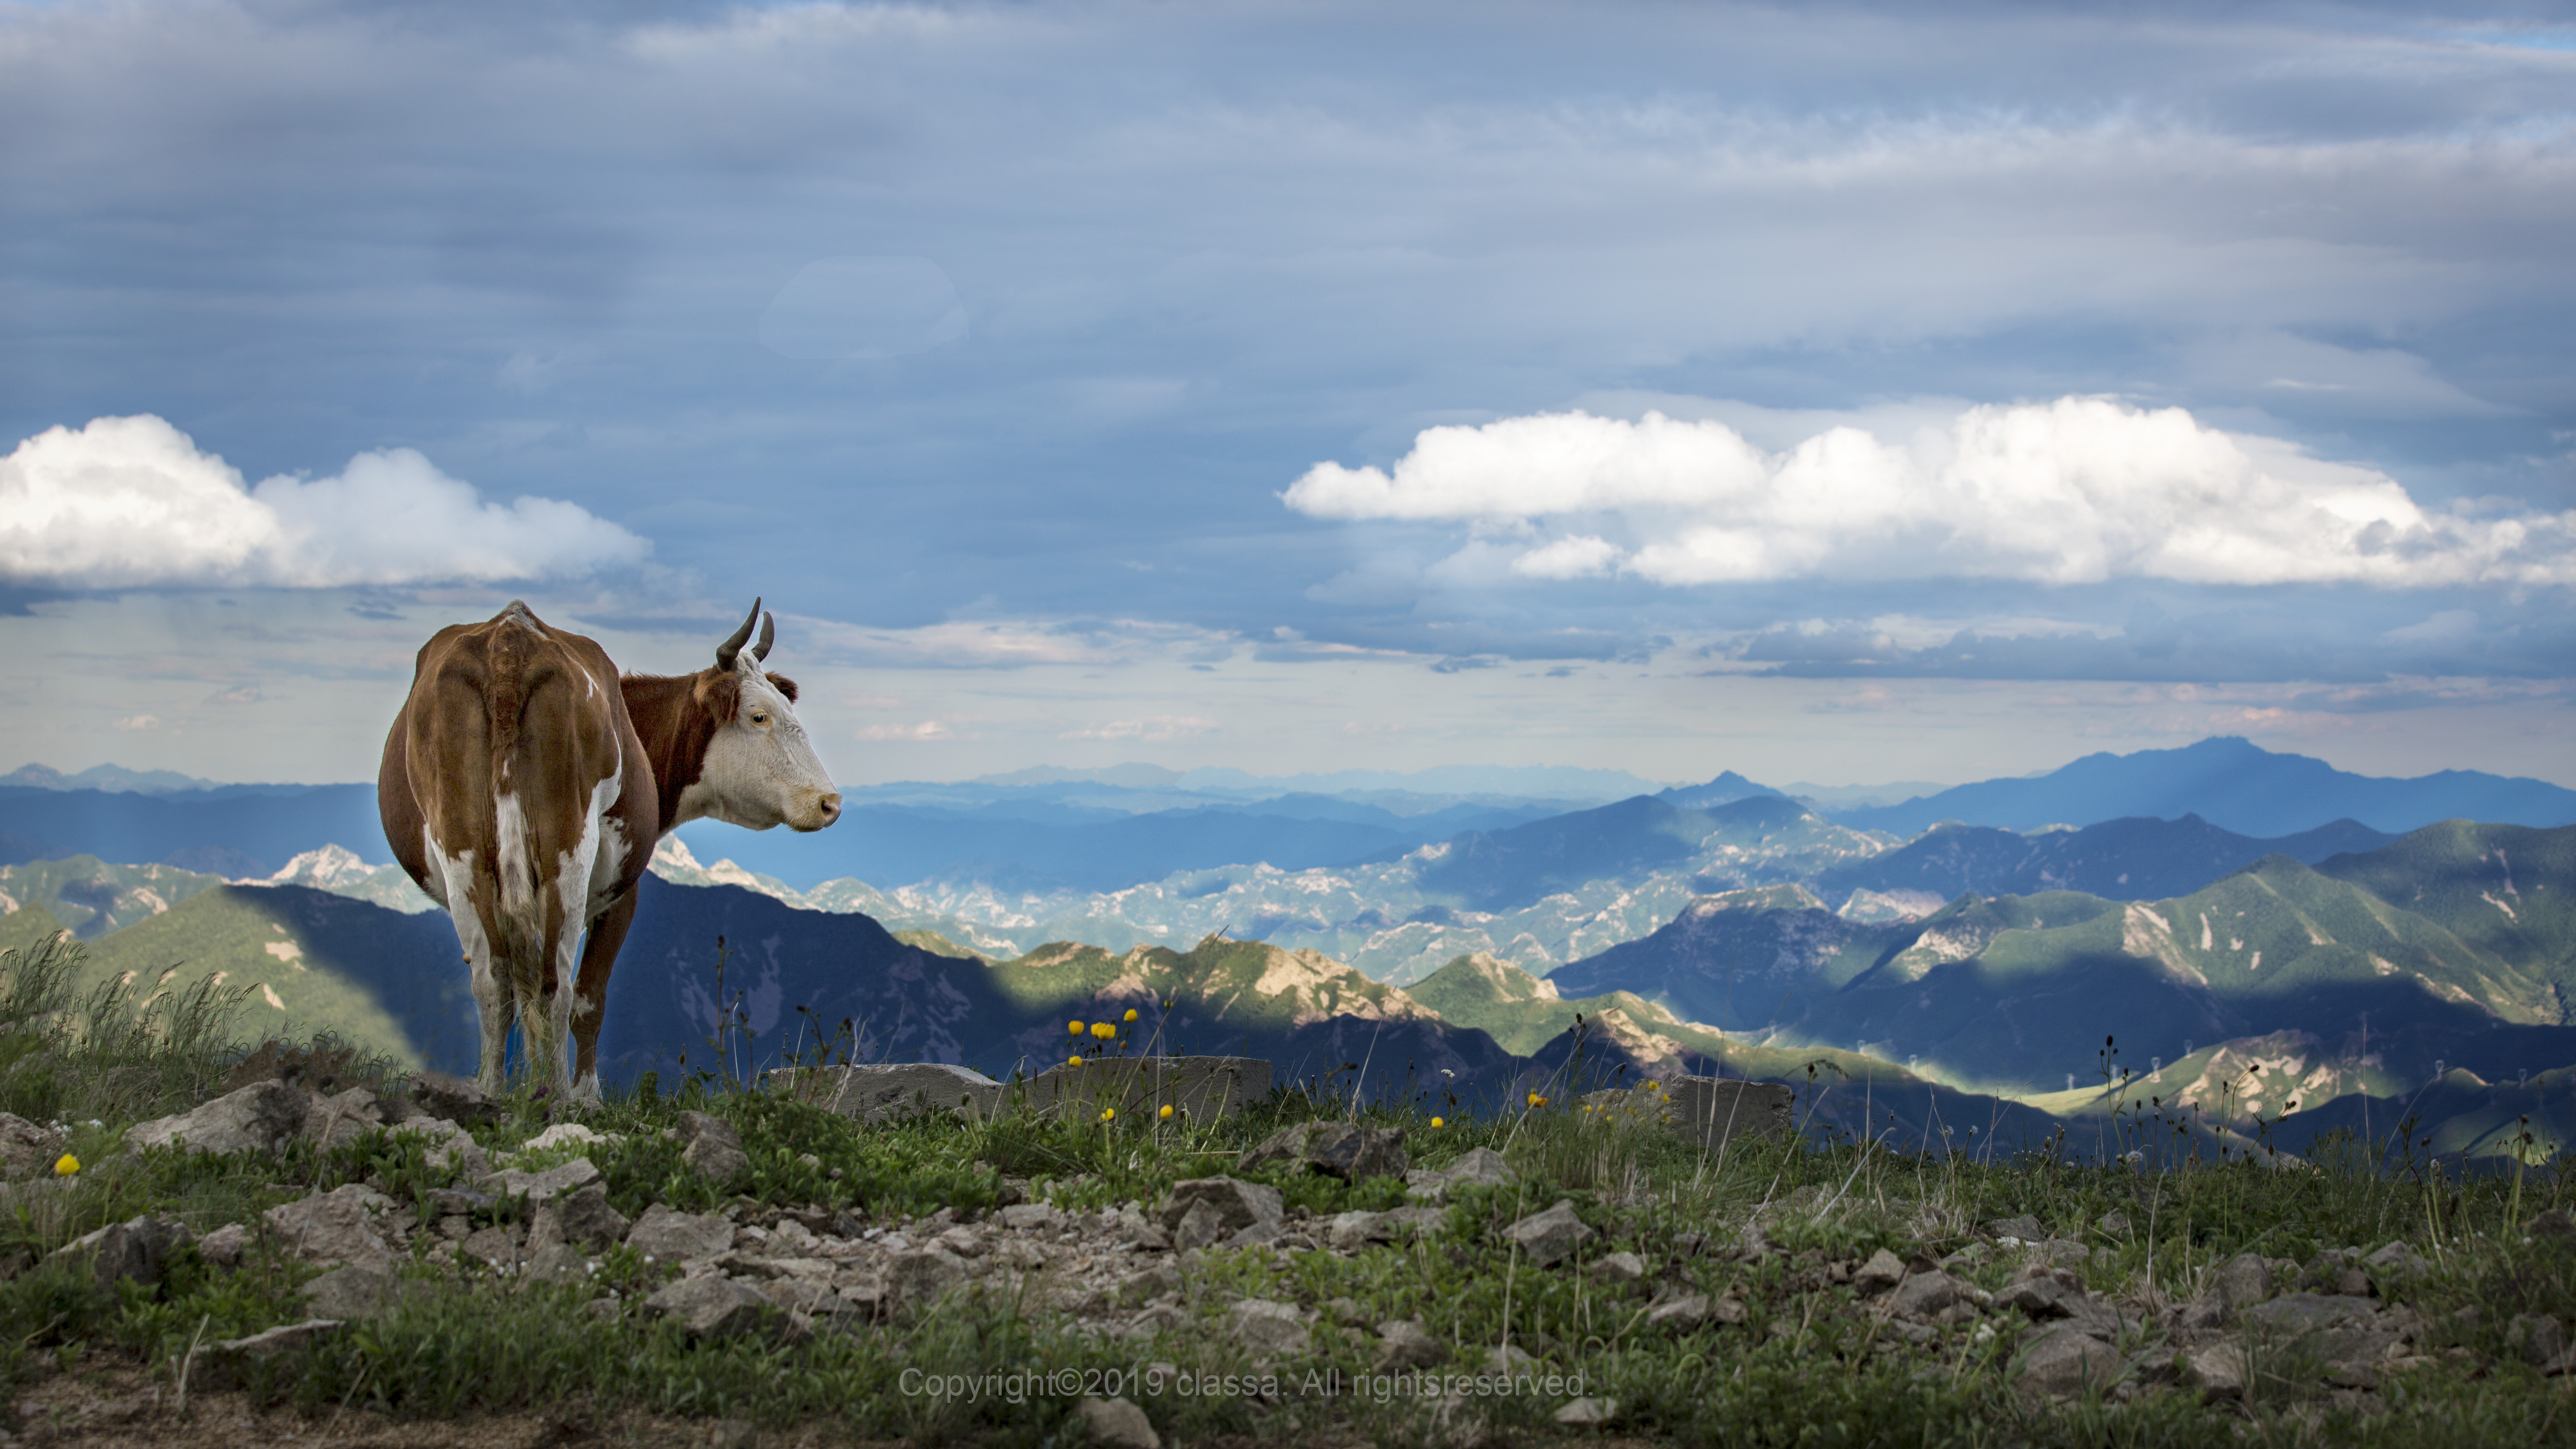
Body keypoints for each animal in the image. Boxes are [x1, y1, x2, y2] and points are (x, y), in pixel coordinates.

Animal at [378, 598, 835, 1093]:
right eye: (759, 716)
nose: (829, 802)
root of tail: (510, 637)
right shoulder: (621, 893)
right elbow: (590, 1000)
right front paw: (587, 1097)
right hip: (567, 850)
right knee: (554, 985)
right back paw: (556, 1095)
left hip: (462, 851)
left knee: (494, 982)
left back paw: (492, 1090)